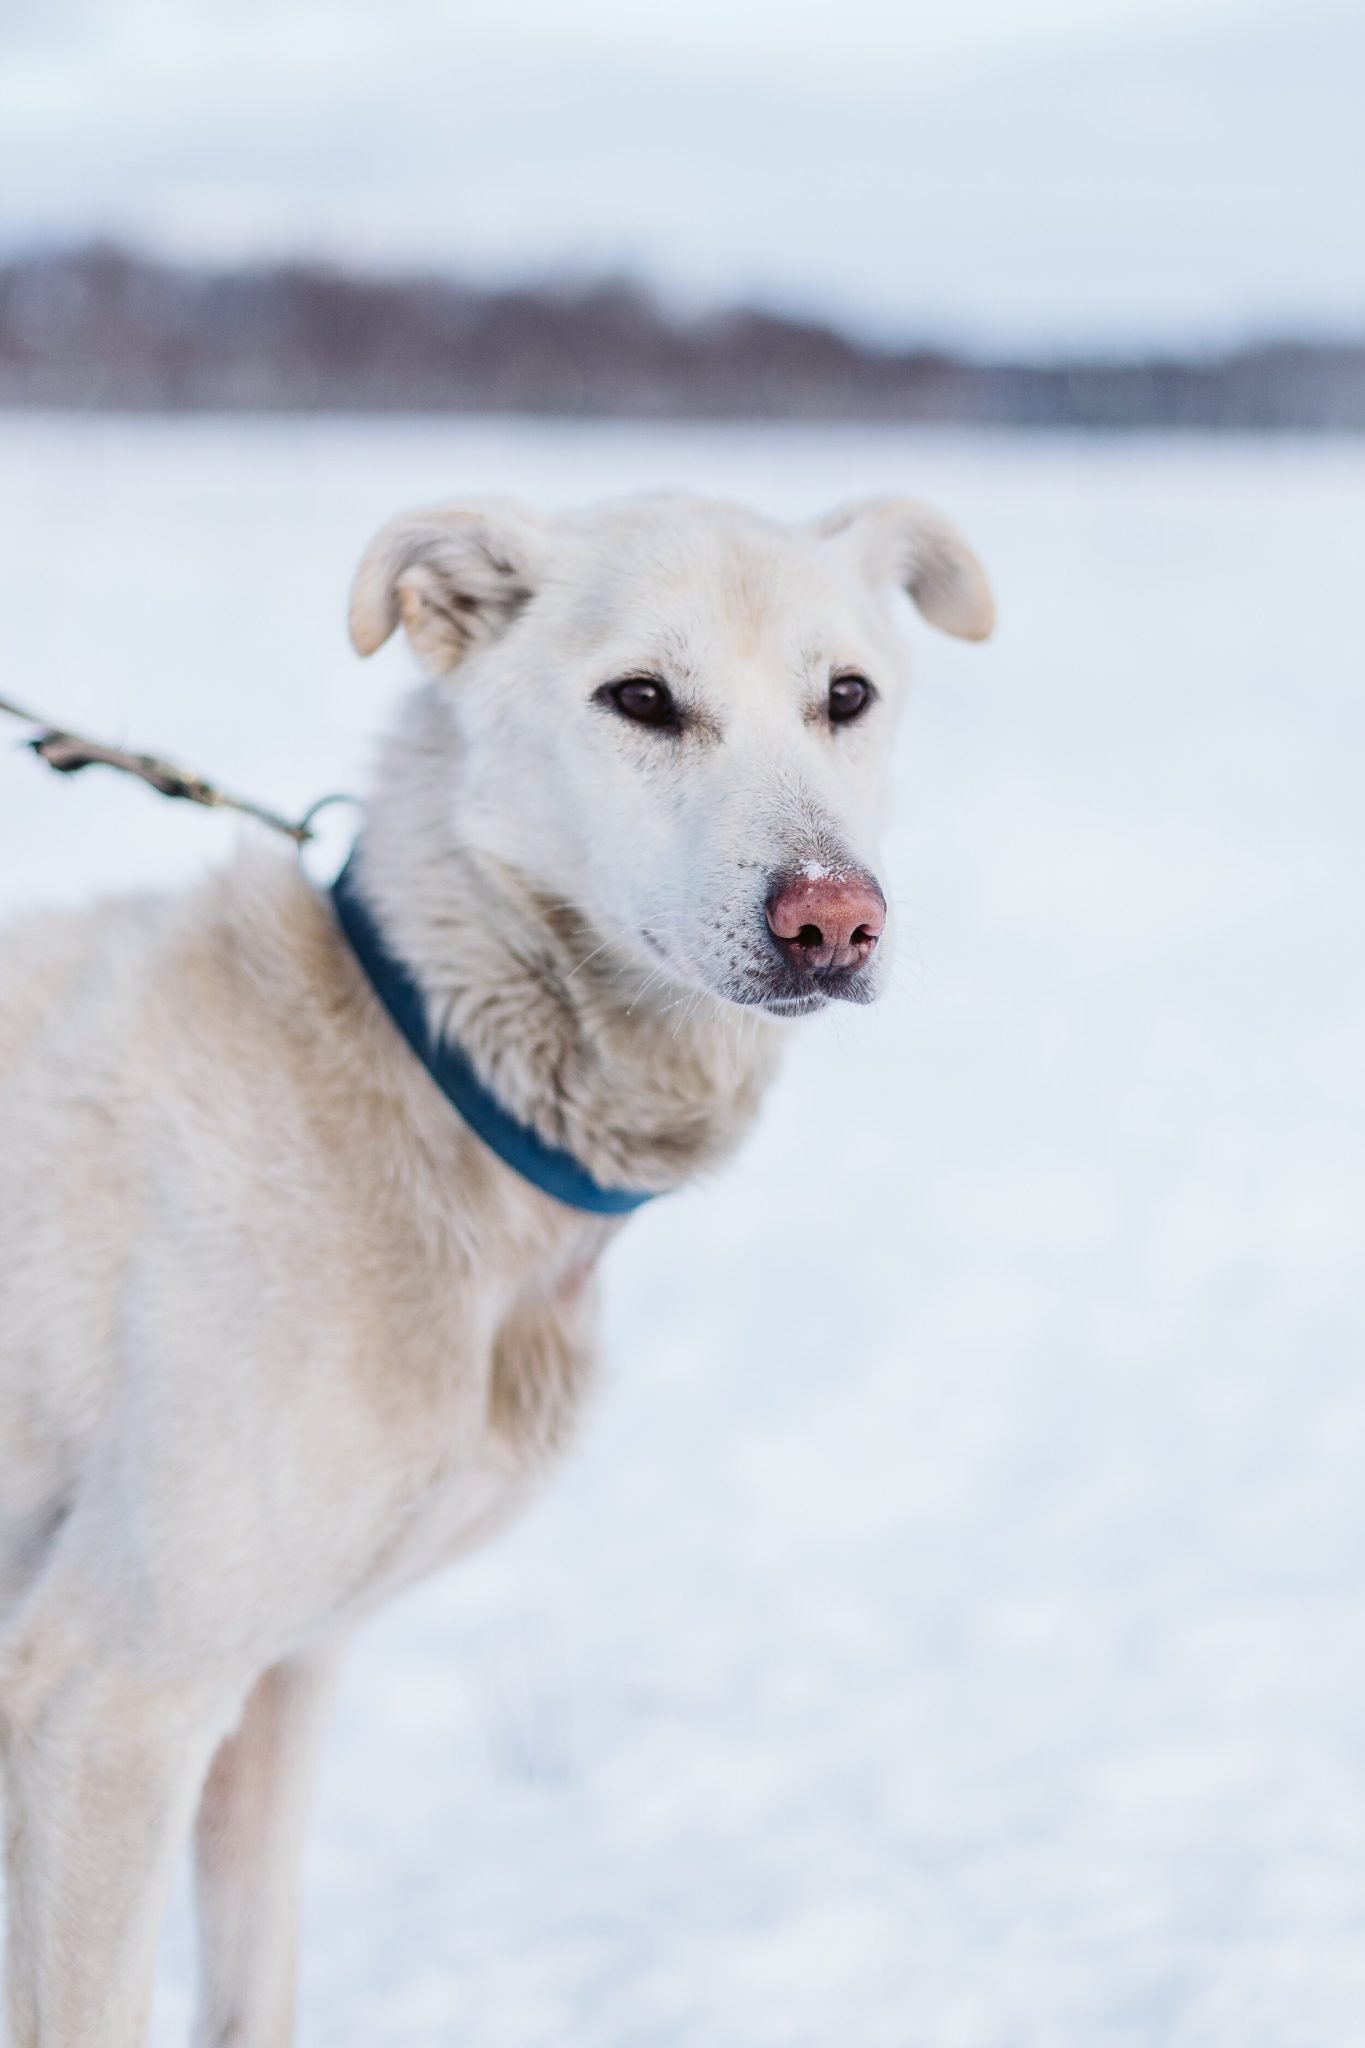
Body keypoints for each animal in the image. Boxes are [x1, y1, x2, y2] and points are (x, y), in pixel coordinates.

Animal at [0, 487, 994, 2039]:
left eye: (847, 696)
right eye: (640, 699)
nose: (833, 917)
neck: (428, 1068)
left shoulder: (278, 1684)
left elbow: (255, 1990)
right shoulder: (104, 1700)